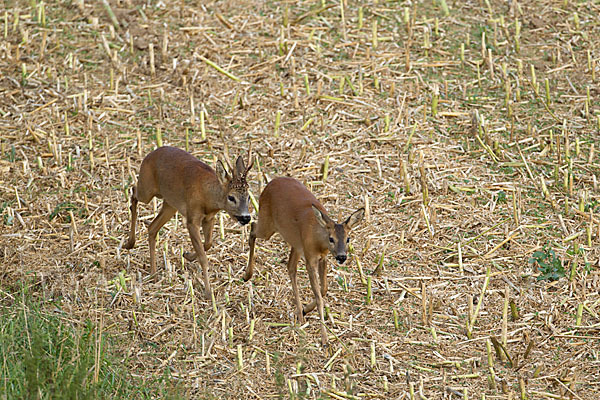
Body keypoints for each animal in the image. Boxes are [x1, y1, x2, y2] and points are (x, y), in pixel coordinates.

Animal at [123, 145, 252, 298]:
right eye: (231, 197)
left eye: (249, 197)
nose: (246, 217)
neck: (207, 198)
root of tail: (151, 153)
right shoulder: (191, 219)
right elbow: (203, 257)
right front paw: (208, 293)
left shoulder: (209, 218)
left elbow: (208, 243)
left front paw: (188, 255)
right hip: (147, 188)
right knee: (134, 192)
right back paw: (130, 243)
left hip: (170, 204)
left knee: (152, 228)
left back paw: (153, 272)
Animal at [241, 177, 364, 346]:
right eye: (331, 238)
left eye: (348, 239)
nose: (341, 257)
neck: (318, 239)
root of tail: (271, 182)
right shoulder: (310, 258)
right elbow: (319, 296)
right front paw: (325, 338)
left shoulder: (322, 258)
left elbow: (324, 289)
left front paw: (307, 310)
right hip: (268, 225)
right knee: (252, 227)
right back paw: (248, 274)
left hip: (295, 243)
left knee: (290, 267)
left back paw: (300, 313)